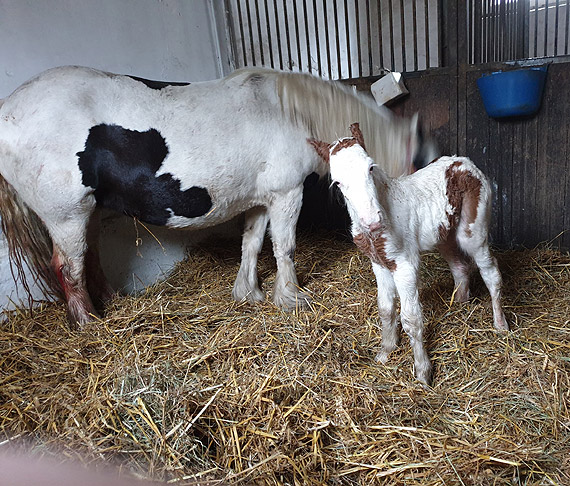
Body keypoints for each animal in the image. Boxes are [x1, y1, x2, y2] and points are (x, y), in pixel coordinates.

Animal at [1, 66, 434, 326]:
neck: (289, 112)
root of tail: (8, 111)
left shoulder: (261, 201)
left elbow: (252, 245)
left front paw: (249, 293)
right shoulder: (286, 195)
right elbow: (284, 248)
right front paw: (291, 297)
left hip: (86, 214)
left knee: (90, 259)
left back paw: (113, 305)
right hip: (67, 217)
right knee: (69, 269)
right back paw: (91, 324)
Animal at [308, 125, 508, 388]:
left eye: (370, 168)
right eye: (337, 182)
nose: (372, 221)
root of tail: (465, 162)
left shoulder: (404, 264)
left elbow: (411, 318)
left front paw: (423, 374)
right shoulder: (379, 263)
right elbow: (385, 309)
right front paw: (385, 352)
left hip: (472, 231)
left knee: (490, 271)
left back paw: (501, 325)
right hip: (444, 235)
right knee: (460, 267)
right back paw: (459, 304)